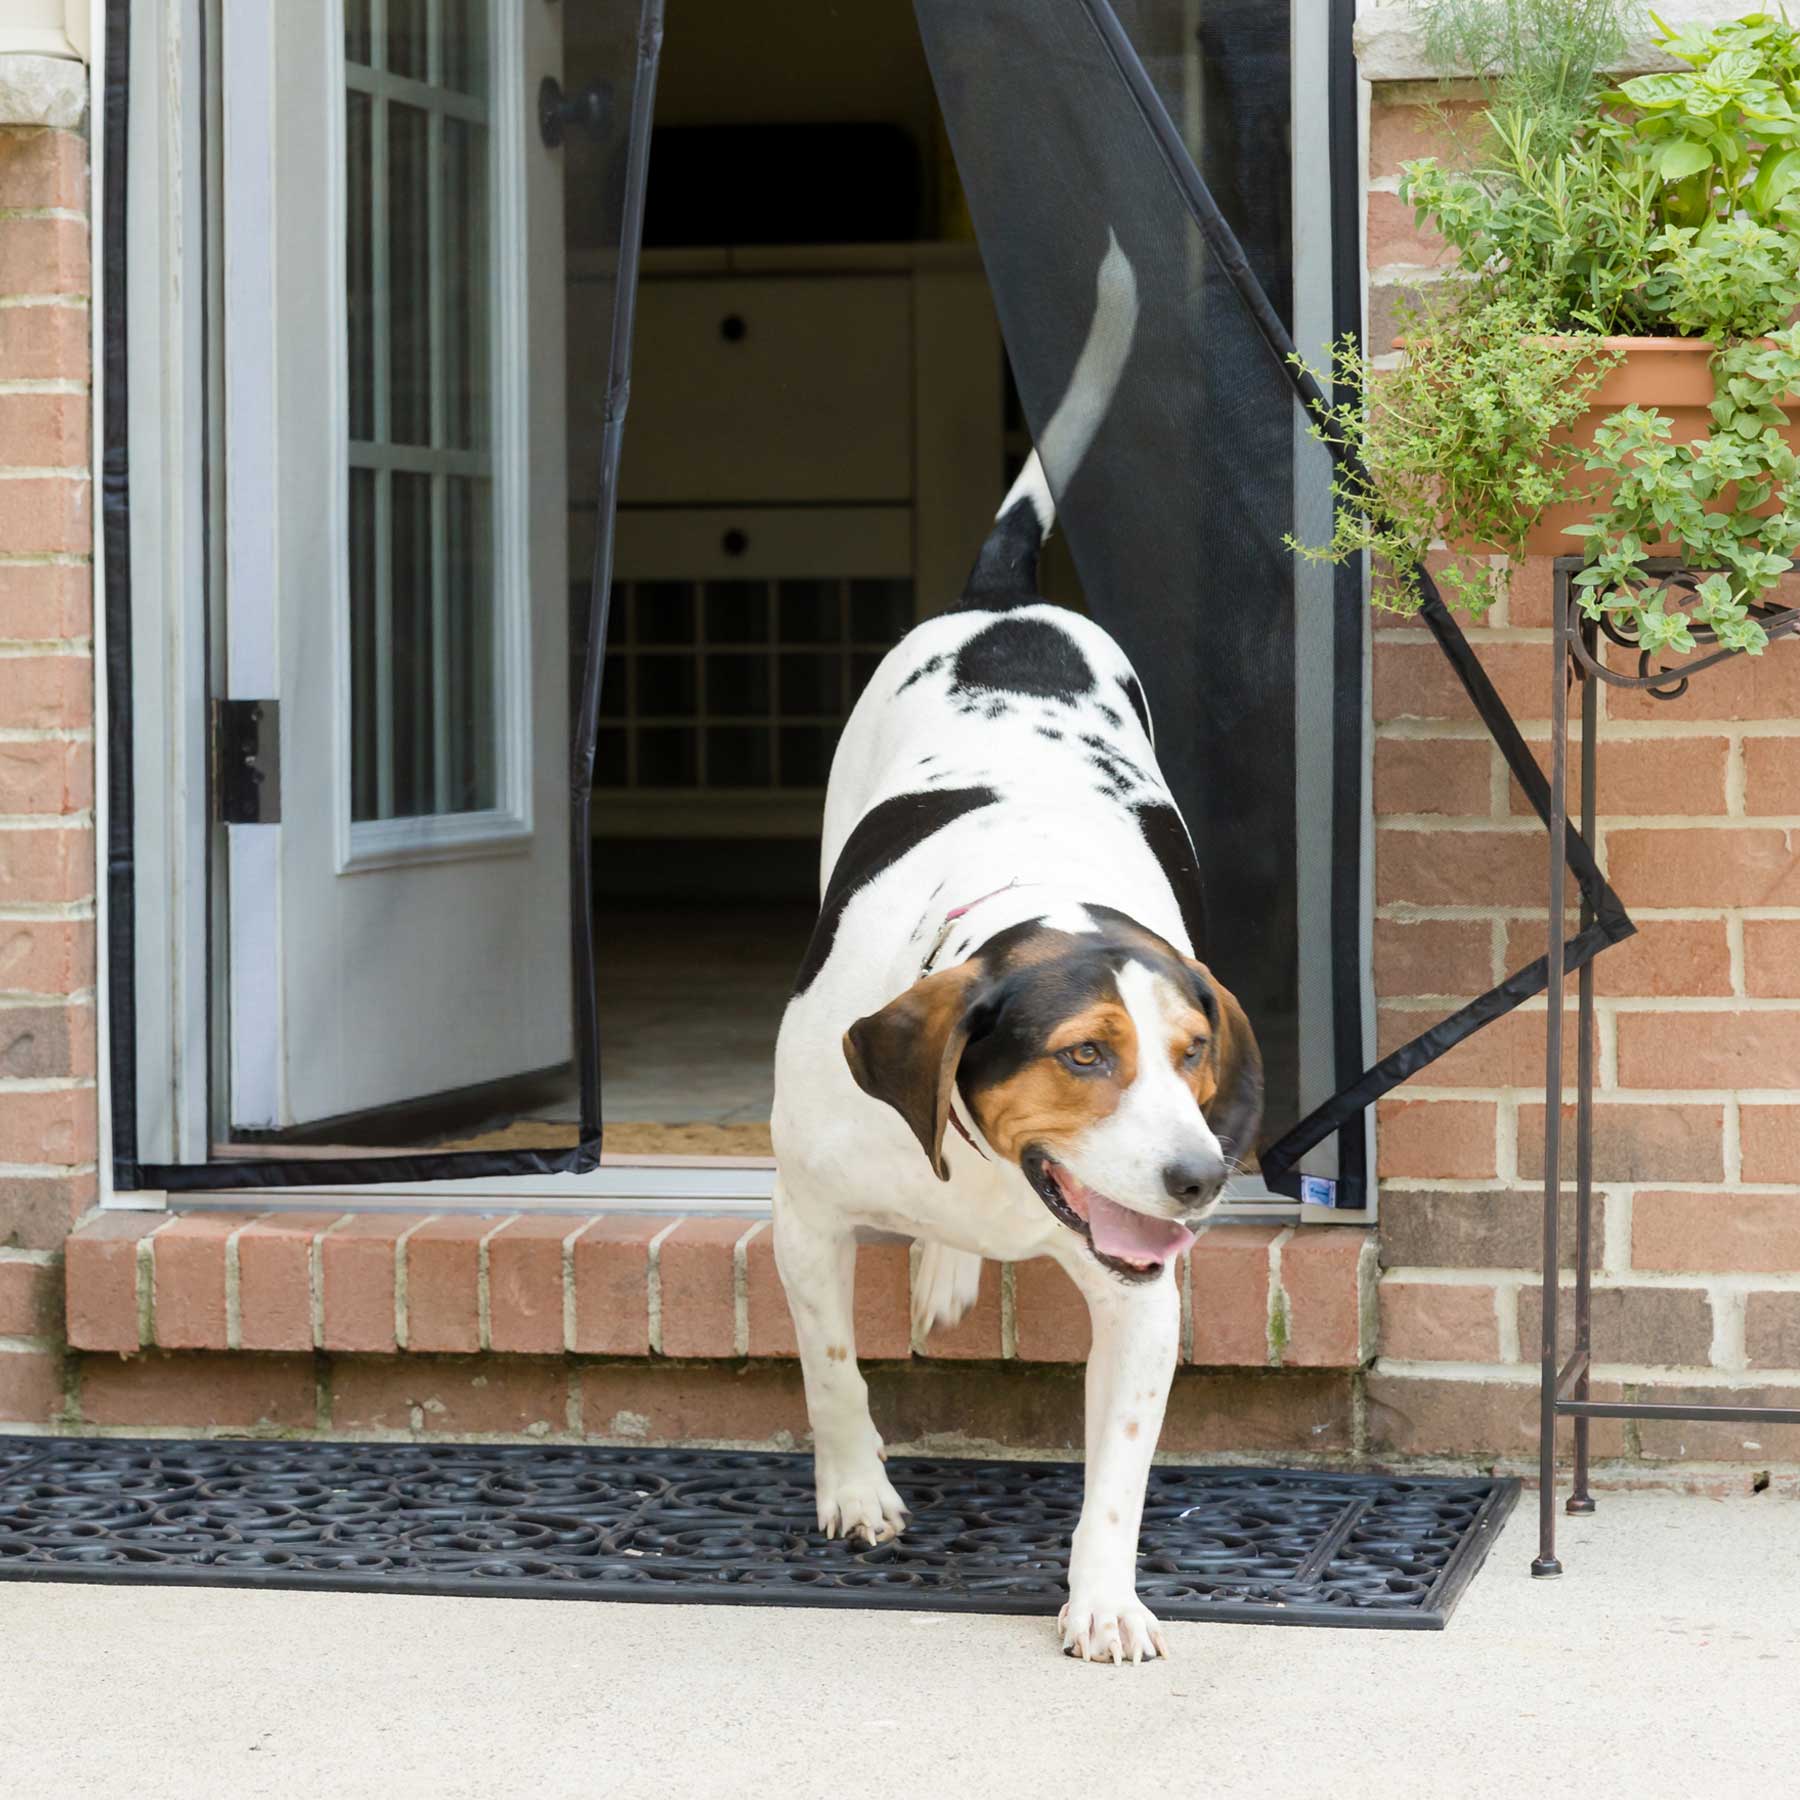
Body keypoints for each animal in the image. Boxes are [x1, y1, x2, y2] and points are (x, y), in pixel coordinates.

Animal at [766, 235, 1260, 1656]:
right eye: (1085, 1055)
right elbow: (831, 1369)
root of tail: (1007, 601)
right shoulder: (805, 1215)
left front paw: (1104, 1599)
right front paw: (857, 1492)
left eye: (1194, 1056)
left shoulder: (1141, 1299)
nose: (1203, 1179)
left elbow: (1120, 1473)